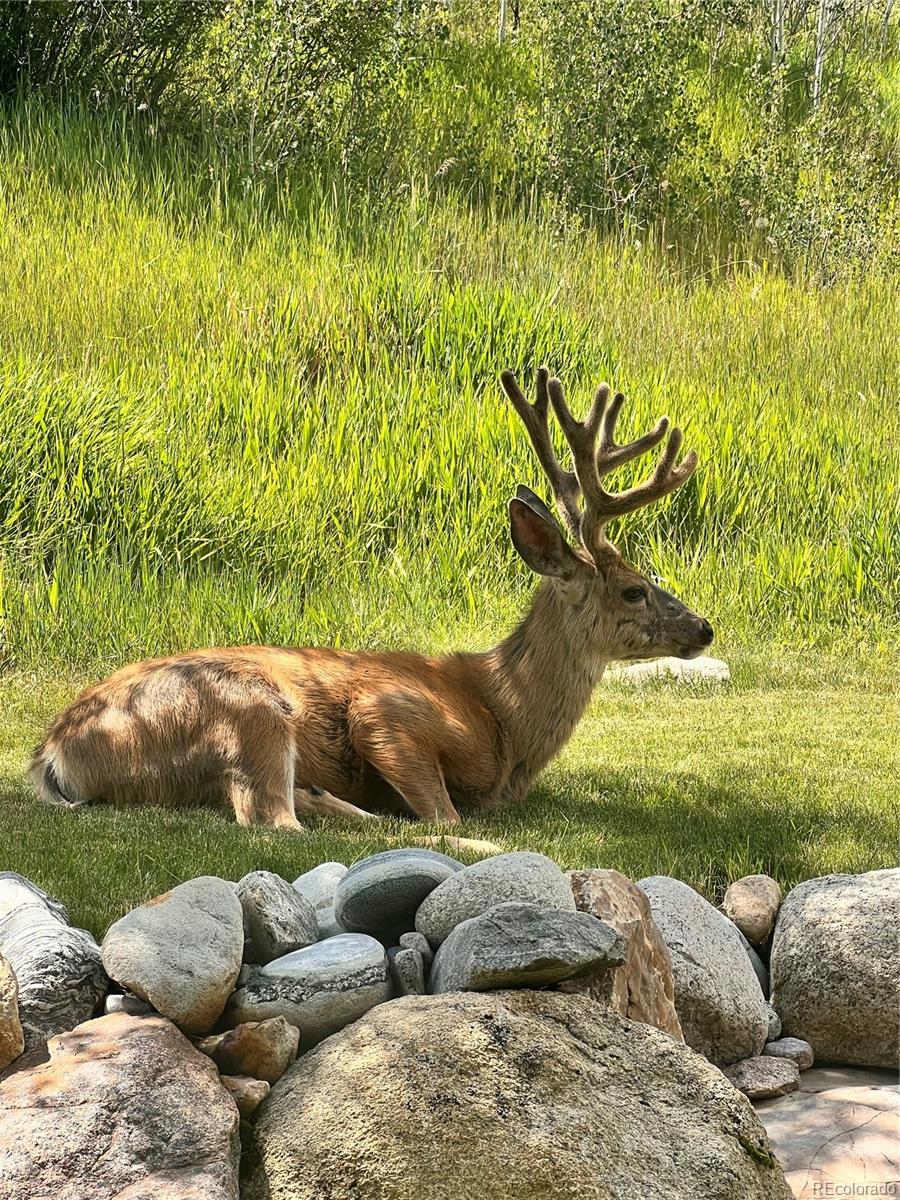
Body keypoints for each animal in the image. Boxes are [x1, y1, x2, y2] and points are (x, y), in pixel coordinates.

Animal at [31, 367, 715, 835]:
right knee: (273, 818)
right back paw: (326, 803)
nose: (705, 627)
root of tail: (54, 753)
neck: (504, 715)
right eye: (634, 588)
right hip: (247, 707)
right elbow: (444, 814)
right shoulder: (388, 711)